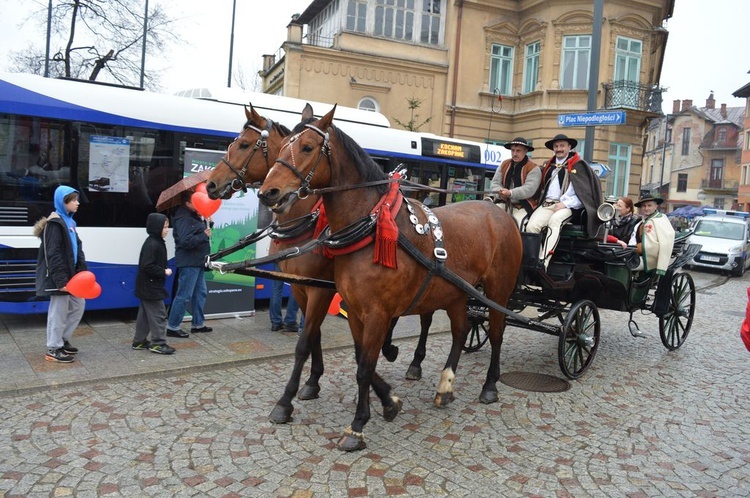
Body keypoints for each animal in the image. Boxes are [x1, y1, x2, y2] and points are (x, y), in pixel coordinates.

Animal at [206, 105, 434, 424]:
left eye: (244, 144)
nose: (211, 184)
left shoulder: (323, 290)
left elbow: (310, 343)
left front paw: (285, 402)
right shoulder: (302, 288)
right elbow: (316, 337)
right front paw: (314, 382)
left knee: (426, 316)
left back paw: (415, 362)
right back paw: (390, 348)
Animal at [262, 105, 524, 452]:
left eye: (306, 147)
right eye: (280, 147)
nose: (268, 192)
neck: (371, 227)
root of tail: (500, 212)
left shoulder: (376, 312)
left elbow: (363, 367)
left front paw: (357, 426)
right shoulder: (354, 309)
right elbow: (363, 359)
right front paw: (388, 402)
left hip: (497, 291)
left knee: (495, 334)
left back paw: (490, 386)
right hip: (455, 293)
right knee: (460, 331)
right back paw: (445, 385)